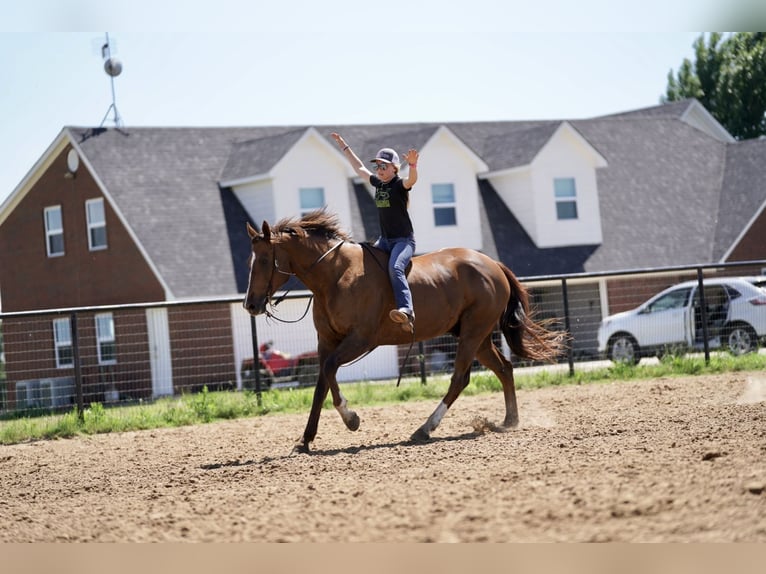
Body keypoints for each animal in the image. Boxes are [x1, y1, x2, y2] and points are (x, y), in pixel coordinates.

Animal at [243, 210, 568, 454]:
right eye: (251, 260)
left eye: (263, 260)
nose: (250, 304)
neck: (336, 276)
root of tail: (493, 265)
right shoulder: (327, 342)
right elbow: (322, 382)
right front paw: (305, 440)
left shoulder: (360, 339)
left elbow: (330, 369)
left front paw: (351, 418)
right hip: (479, 337)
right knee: (505, 368)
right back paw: (509, 420)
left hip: (473, 334)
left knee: (460, 378)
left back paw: (425, 428)